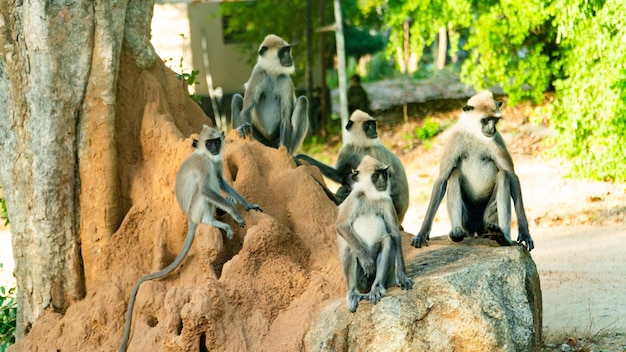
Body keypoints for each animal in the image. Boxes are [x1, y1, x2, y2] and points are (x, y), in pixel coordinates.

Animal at [117, 125, 260, 350]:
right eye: (208, 143)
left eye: (216, 142)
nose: (214, 148)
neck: (205, 155)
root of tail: (190, 218)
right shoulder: (204, 164)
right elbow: (206, 188)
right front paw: (236, 213)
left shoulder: (216, 162)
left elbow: (221, 180)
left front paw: (246, 205)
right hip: (197, 208)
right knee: (203, 193)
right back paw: (215, 220)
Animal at [336, 155, 414, 312]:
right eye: (376, 176)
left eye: (384, 174)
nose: (383, 181)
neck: (370, 196)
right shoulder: (355, 197)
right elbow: (342, 226)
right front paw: (367, 261)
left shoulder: (387, 202)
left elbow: (394, 234)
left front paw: (402, 276)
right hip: (360, 280)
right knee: (349, 247)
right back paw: (353, 293)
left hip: (388, 276)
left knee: (387, 240)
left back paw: (377, 288)